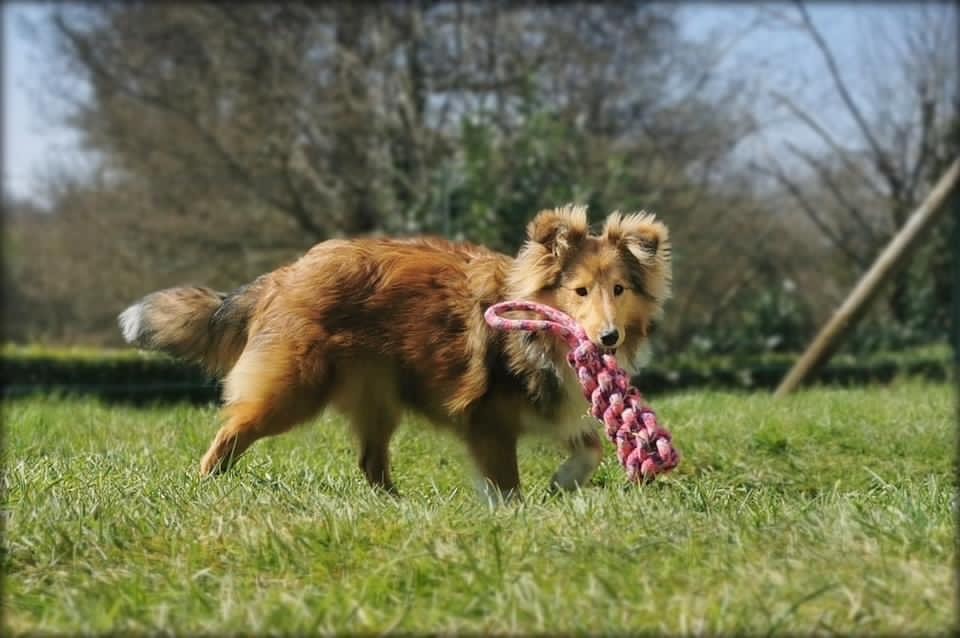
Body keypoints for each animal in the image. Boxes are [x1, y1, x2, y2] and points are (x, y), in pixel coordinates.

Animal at [120, 205, 672, 500]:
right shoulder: (489, 419)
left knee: (370, 460)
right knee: (234, 428)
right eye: (579, 291)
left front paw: (562, 484)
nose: (608, 339)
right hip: (296, 389)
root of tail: (285, 275)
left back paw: (397, 504)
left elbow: (591, 445)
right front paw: (514, 511)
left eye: (619, 289)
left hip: (377, 394)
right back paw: (205, 482)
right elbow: (505, 480)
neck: (542, 336)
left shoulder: (551, 406)